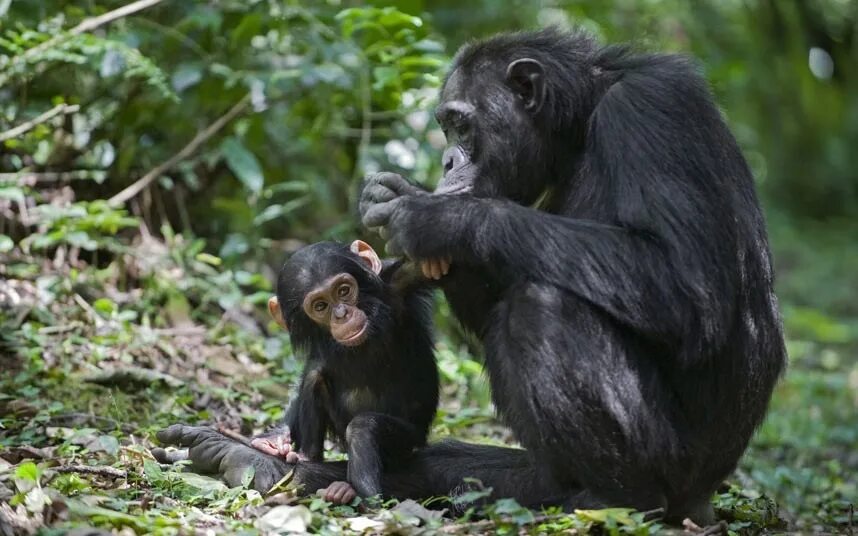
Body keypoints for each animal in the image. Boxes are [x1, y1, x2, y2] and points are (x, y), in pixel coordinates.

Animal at [247, 241, 434, 504]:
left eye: (344, 291)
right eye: (320, 306)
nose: (341, 314)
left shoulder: (397, 287)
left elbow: (421, 269)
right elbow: (313, 369)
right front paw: (275, 438)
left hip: (409, 443)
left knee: (362, 428)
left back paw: (354, 492)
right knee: (315, 377)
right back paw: (308, 459)